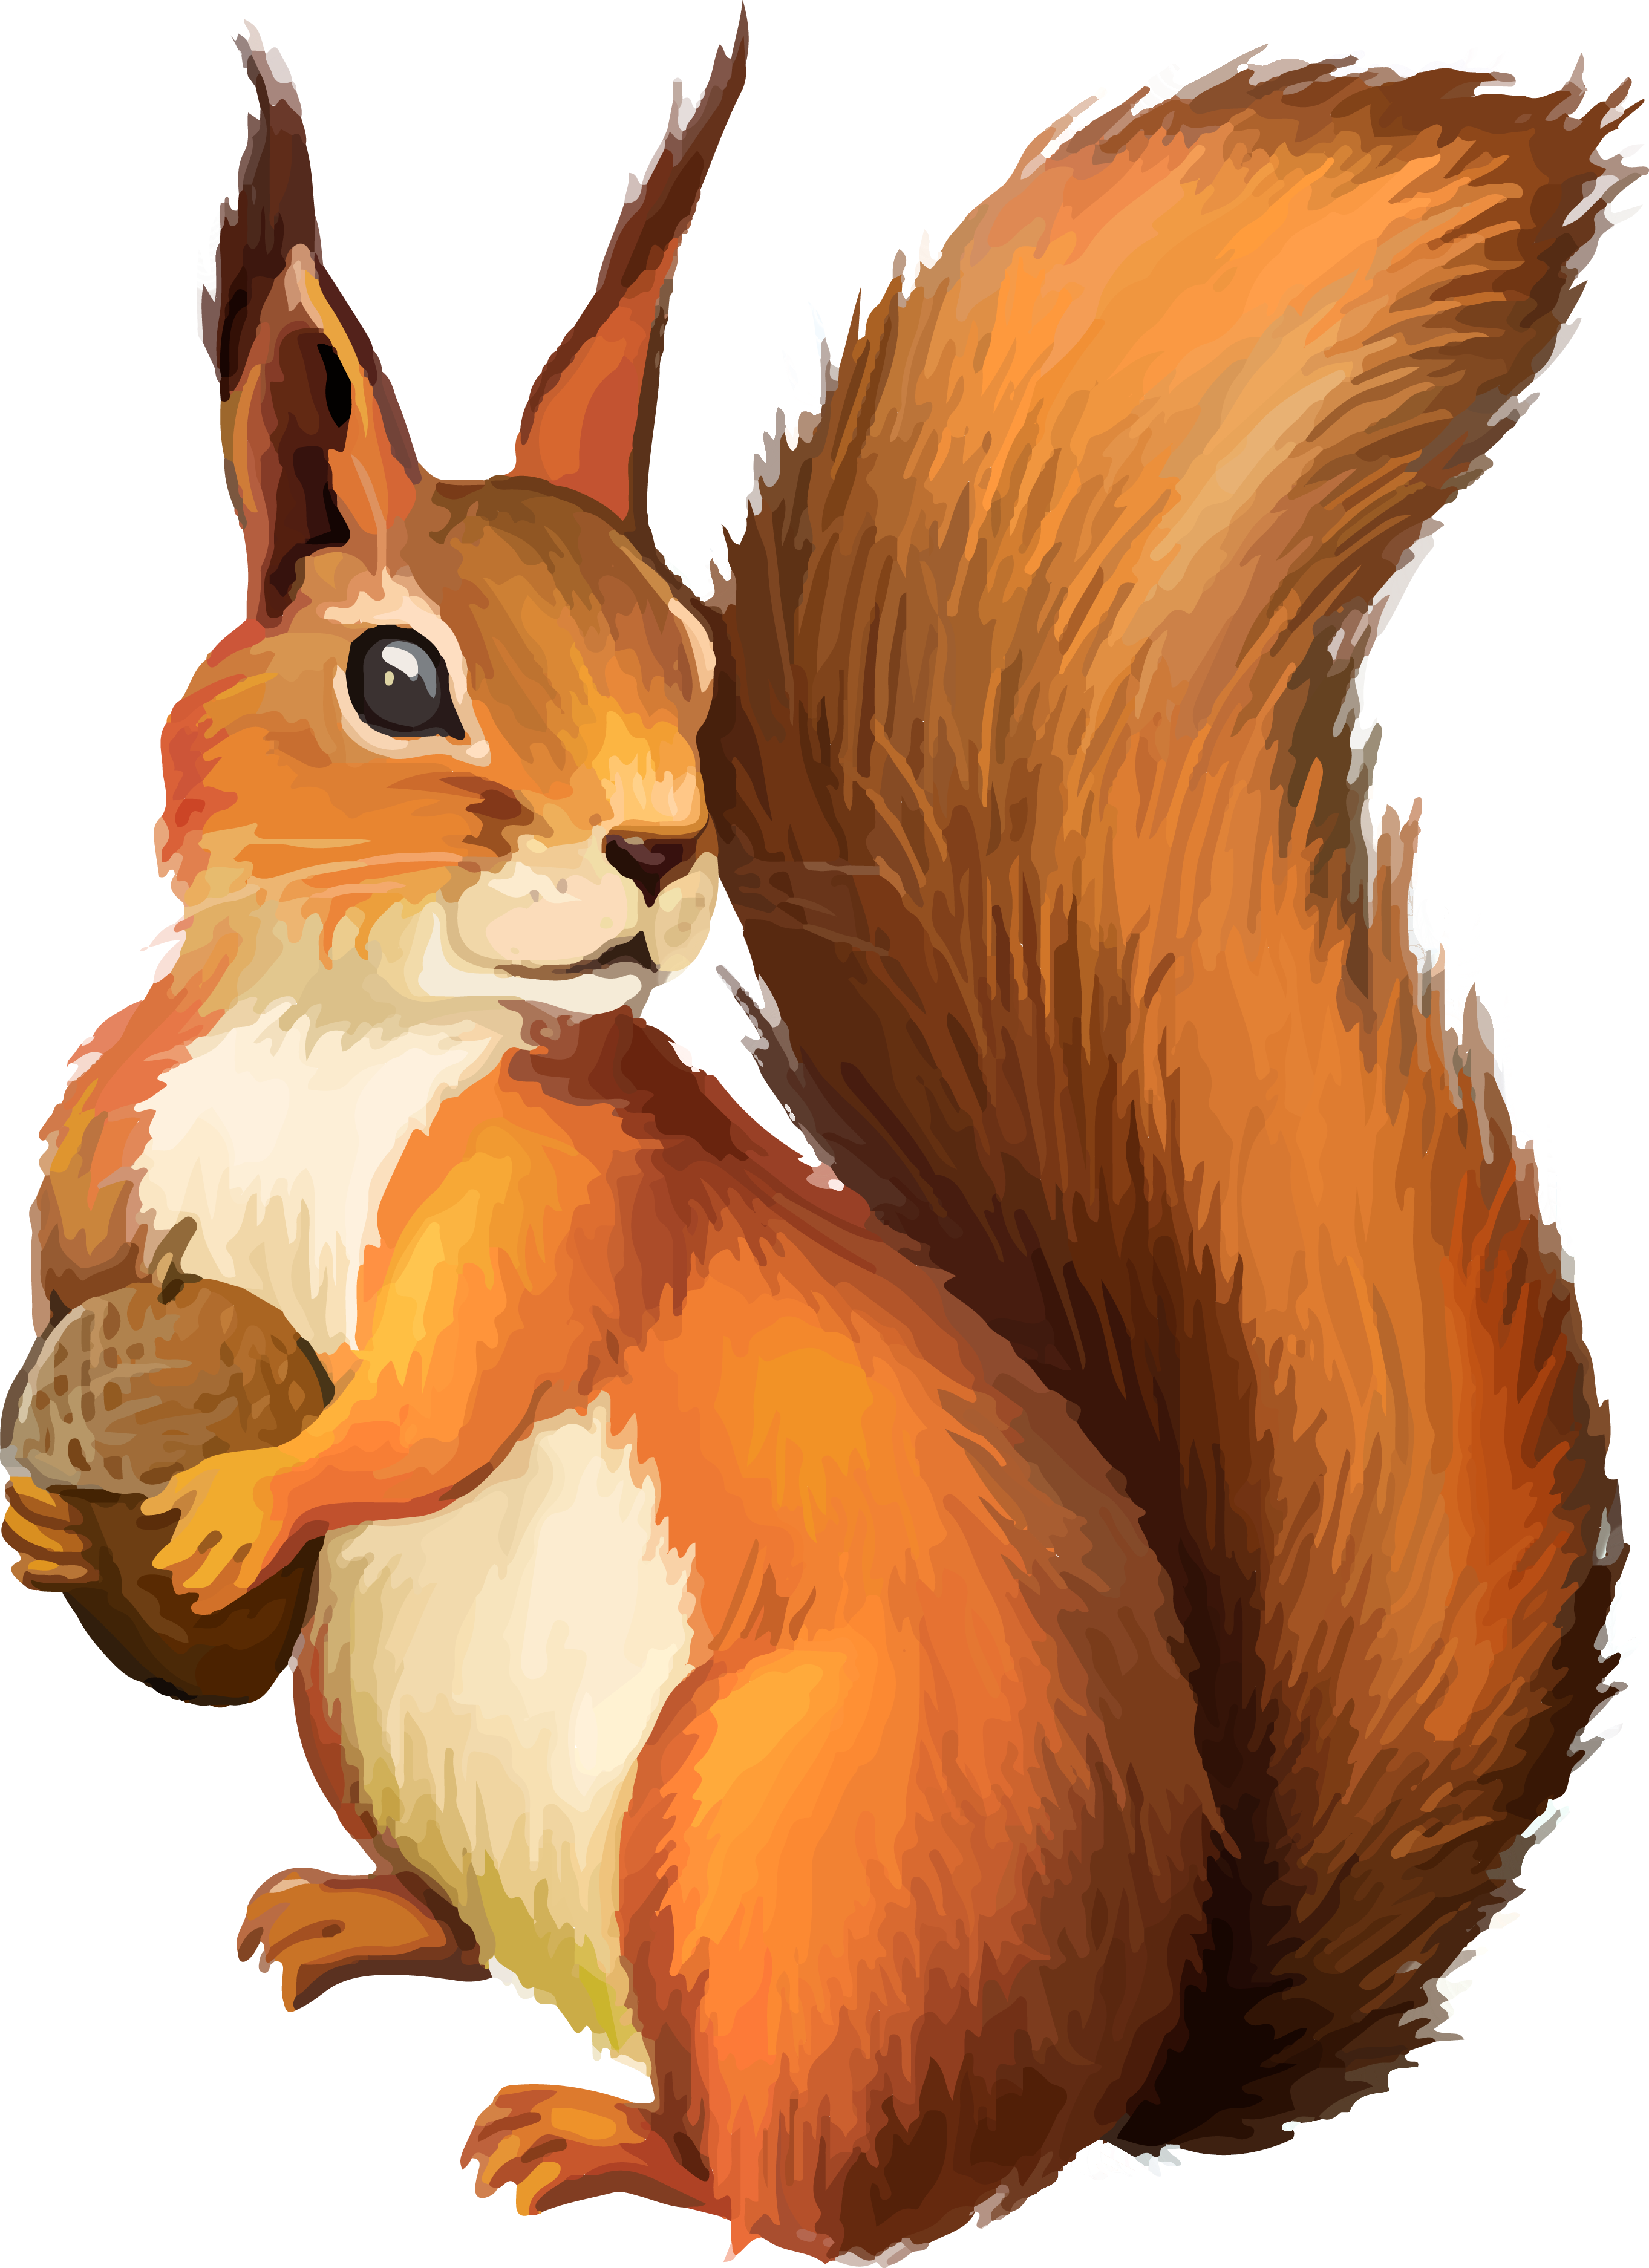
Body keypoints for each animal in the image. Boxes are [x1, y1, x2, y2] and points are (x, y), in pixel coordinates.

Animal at [2, 14, 1634, 2258]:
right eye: (397, 676)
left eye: (692, 656)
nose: (661, 846)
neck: (344, 1020)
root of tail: (1110, 2071)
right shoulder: (113, 1130)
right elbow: (77, 1295)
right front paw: (47, 1518)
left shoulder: (566, 1200)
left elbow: (440, 1392)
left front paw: (258, 1492)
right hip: (393, 1732)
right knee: (483, 1941)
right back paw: (362, 1917)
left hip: (774, 1850)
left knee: (802, 2191)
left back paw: (606, 2137)